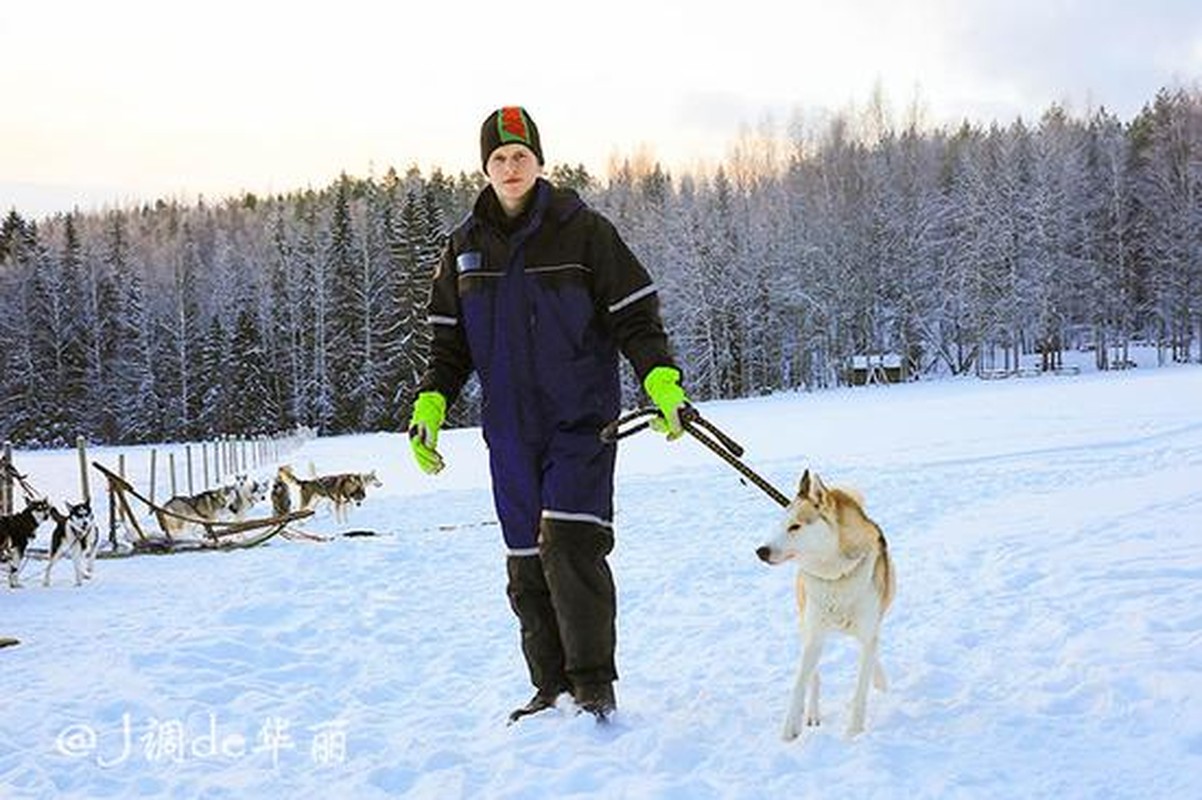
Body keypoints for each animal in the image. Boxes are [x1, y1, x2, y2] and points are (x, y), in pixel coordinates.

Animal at [754, 470, 899, 739]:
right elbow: (800, 683)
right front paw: (790, 729)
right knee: (815, 676)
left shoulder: (868, 630)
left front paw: (854, 733)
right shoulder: (813, 636)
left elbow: (861, 686)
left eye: (795, 526)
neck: (836, 575)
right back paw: (812, 714)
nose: (761, 551)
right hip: (808, 627)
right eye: (780, 525)